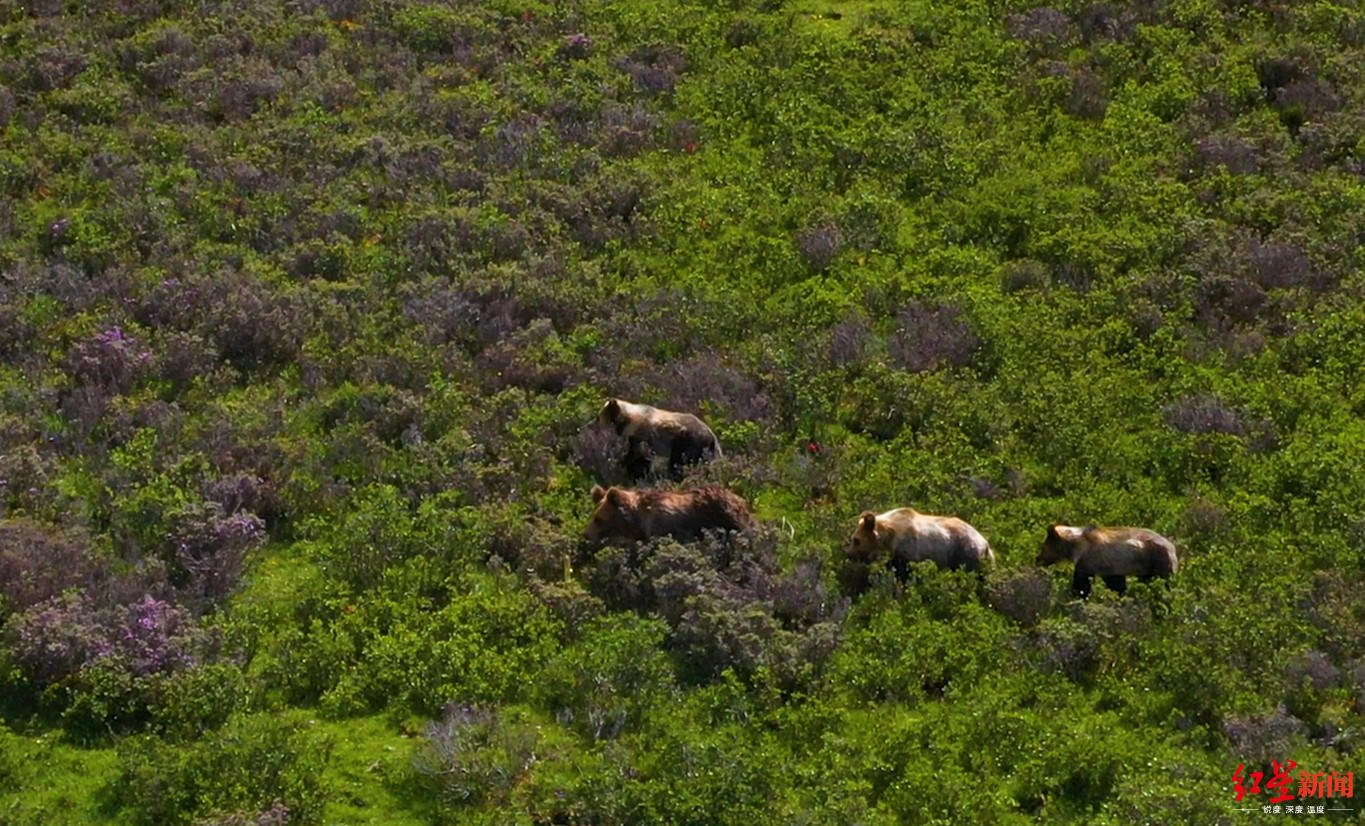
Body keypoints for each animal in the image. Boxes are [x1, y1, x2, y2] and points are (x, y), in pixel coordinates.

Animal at [586, 480, 758, 543]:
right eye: (593, 517)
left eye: (598, 519)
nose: (587, 537)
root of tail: (740, 499)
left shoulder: (663, 524)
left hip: (725, 514)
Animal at [597, 395, 726, 480]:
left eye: (602, 413)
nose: (597, 420)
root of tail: (711, 437)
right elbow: (634, 452)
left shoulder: (642, 431)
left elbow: (640, 455)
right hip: (705, 450)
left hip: (687, 441)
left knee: (677, 461)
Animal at [840, 502, 993, 573]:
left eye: (856, 540)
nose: (848, 554)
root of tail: (985, 544)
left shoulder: (908, 547)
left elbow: (901, 568)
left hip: (965, 551)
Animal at [1031, 524, 1173, 595]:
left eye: (1043, 547)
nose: (1037, 559)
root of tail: (1171, 547)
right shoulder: (1109, 566)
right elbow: (1116, 583)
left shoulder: (1089, 559)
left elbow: (1082, 583)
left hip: (1156, 560)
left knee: (1162, 581)